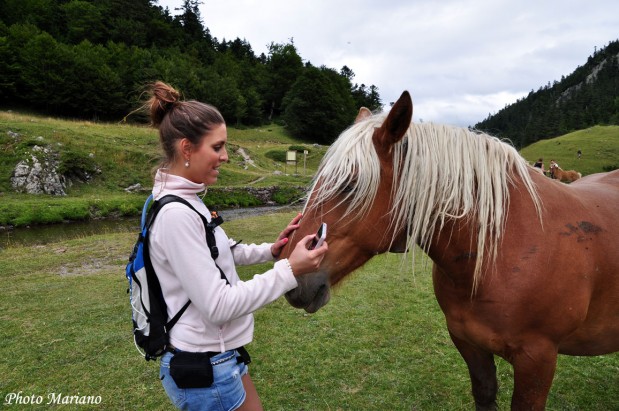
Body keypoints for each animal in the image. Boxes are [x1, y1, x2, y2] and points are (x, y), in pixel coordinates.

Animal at [282, 91, 619, 410]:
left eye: (349, 185)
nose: (295, 274)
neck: (499, 250)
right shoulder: (468, 342)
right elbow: (484, 393)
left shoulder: (538, 359)